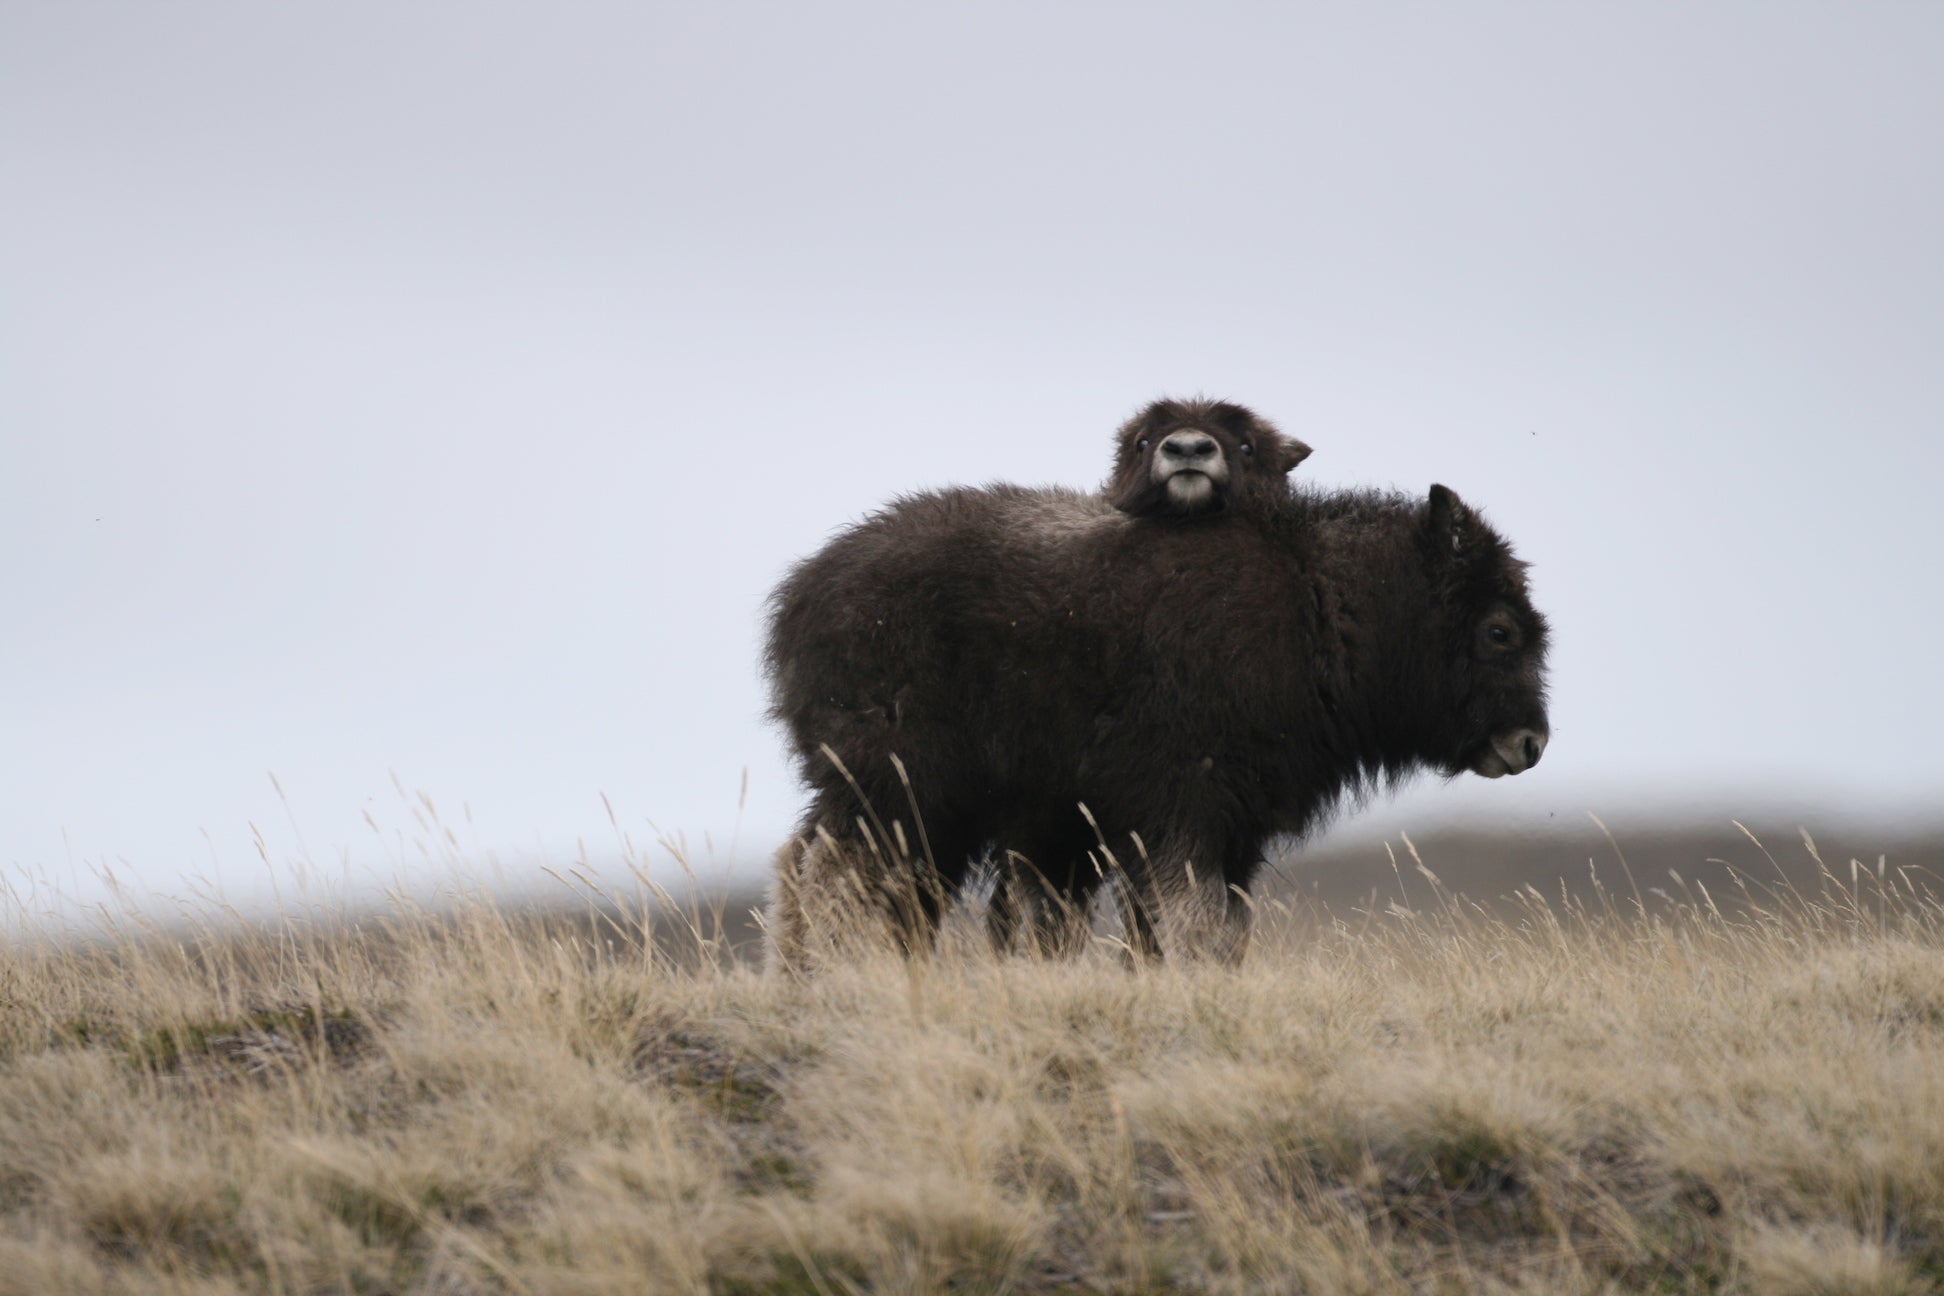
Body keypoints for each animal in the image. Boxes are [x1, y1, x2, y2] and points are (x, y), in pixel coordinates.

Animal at [758, 481, 1547, 967]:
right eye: (1499, 630)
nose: (1531, 743)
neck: (1321, 604)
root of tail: (799, 595)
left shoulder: (1228, 831)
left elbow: (1212, 930)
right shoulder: (1179, 809)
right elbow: (1196, 922)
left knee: (816, 873)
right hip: (898, 790)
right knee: (833, 879)